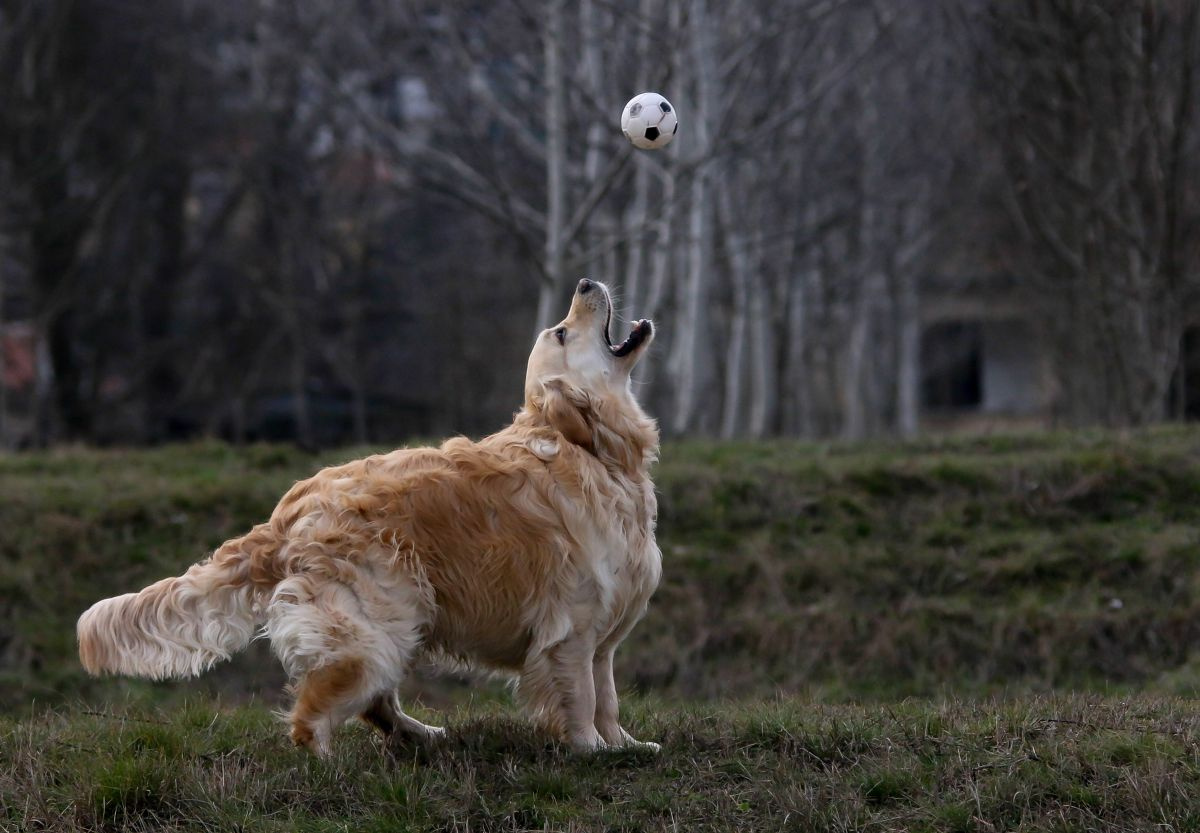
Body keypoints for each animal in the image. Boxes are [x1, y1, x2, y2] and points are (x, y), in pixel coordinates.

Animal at [79, 278, 662, 758]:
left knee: (376, 704)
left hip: (397, 624)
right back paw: (325, 765)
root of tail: (287, 514)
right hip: (372, 625)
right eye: (562, 333)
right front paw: (591, 751)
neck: (595, 452)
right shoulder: (572, 629)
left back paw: (422, 734)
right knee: (313, 713)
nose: (585, 281)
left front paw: (626, 745)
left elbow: (607, 697)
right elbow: (580, 699)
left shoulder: (603, 639)